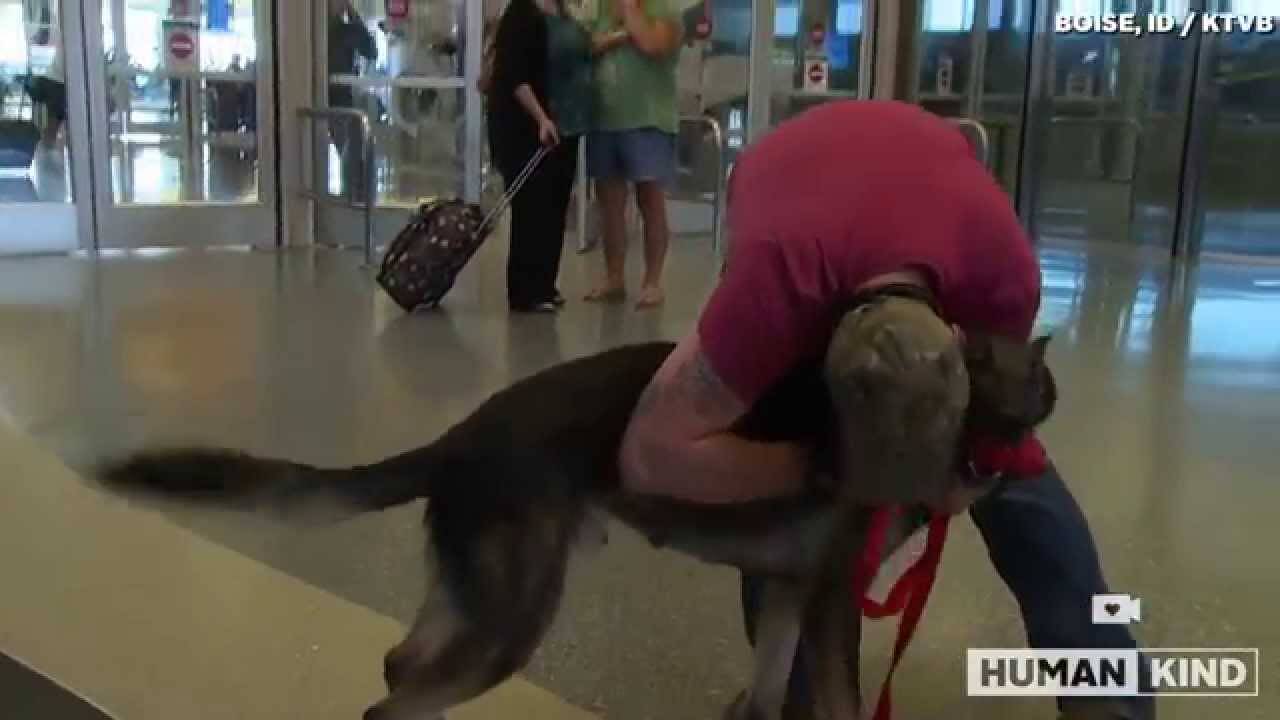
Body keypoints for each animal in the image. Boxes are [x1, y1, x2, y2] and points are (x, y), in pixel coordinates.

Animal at [99, 301, 1054, 712]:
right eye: (1034, 387)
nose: (1052, 408)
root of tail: (459, 437)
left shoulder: (788, 595)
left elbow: (763, 690)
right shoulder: (829, 605)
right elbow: (838, 704)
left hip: (479, 593)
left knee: (400, 665)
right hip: (515, 613)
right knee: (396, 701)